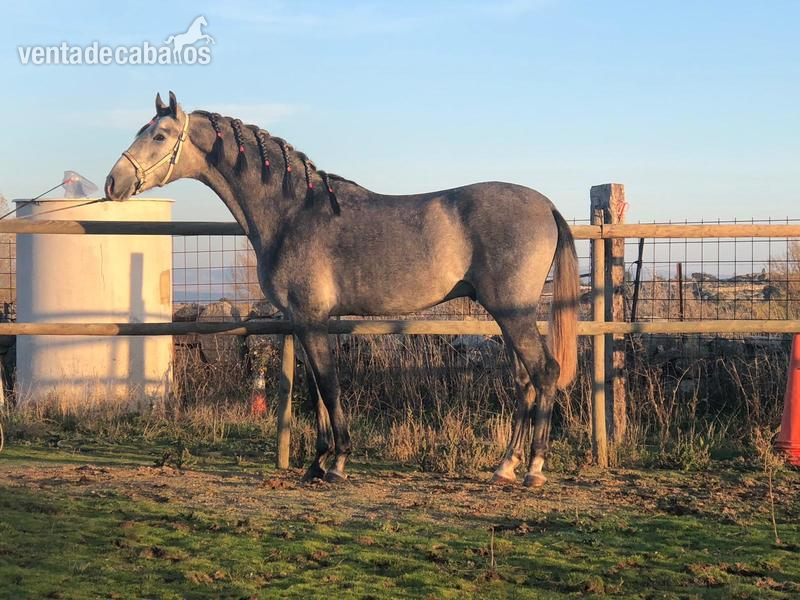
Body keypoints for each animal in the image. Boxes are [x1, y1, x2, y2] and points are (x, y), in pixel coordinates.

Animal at [105, 92, 579, 488]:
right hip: (507, 317)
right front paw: (315, 463)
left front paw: (336, 463)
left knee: (544, 373)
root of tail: (547, 206)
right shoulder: (305, 322)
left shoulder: (312, 319)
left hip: (514, 314)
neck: (294, 213)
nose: (113, 183)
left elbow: (330, 385)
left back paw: (533, 469)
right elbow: (316, 388)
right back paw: (504, 466)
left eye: (159, 134)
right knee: (524, 382)